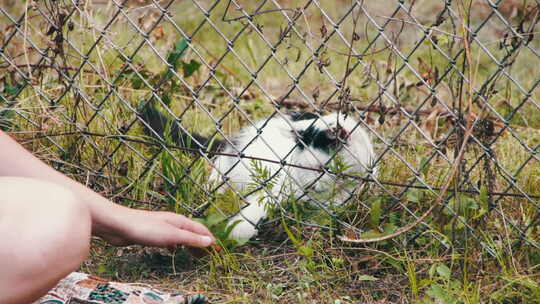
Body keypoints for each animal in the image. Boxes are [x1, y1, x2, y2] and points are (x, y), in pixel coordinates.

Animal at [139, 105, 376, 241]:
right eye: (303, 168)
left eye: (322, 169)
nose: (311, 186)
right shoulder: (282, 182)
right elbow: (261, 204)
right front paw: (239, 229)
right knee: (221, 164)